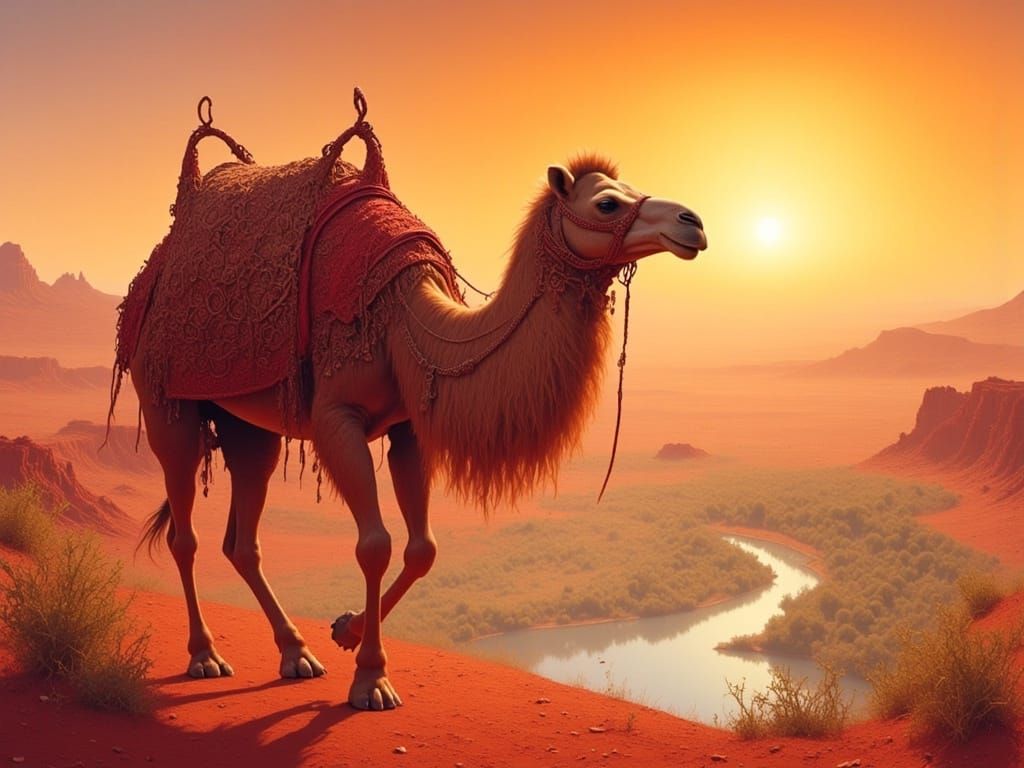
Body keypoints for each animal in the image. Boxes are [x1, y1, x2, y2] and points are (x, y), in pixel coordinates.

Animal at [121, 114, 706, 709]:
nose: (694, 223)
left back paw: (296, 653)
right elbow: (375, 544)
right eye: (607, 203)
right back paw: (205, 657)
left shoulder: (408, 426)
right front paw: (371, 679)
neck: (406, 316)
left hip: (247, 422)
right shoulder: (336, 417)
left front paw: (345, 630)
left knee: (243, 537)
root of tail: (153, 269)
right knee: (184, 533)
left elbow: (423, 548)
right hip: (162, 395)